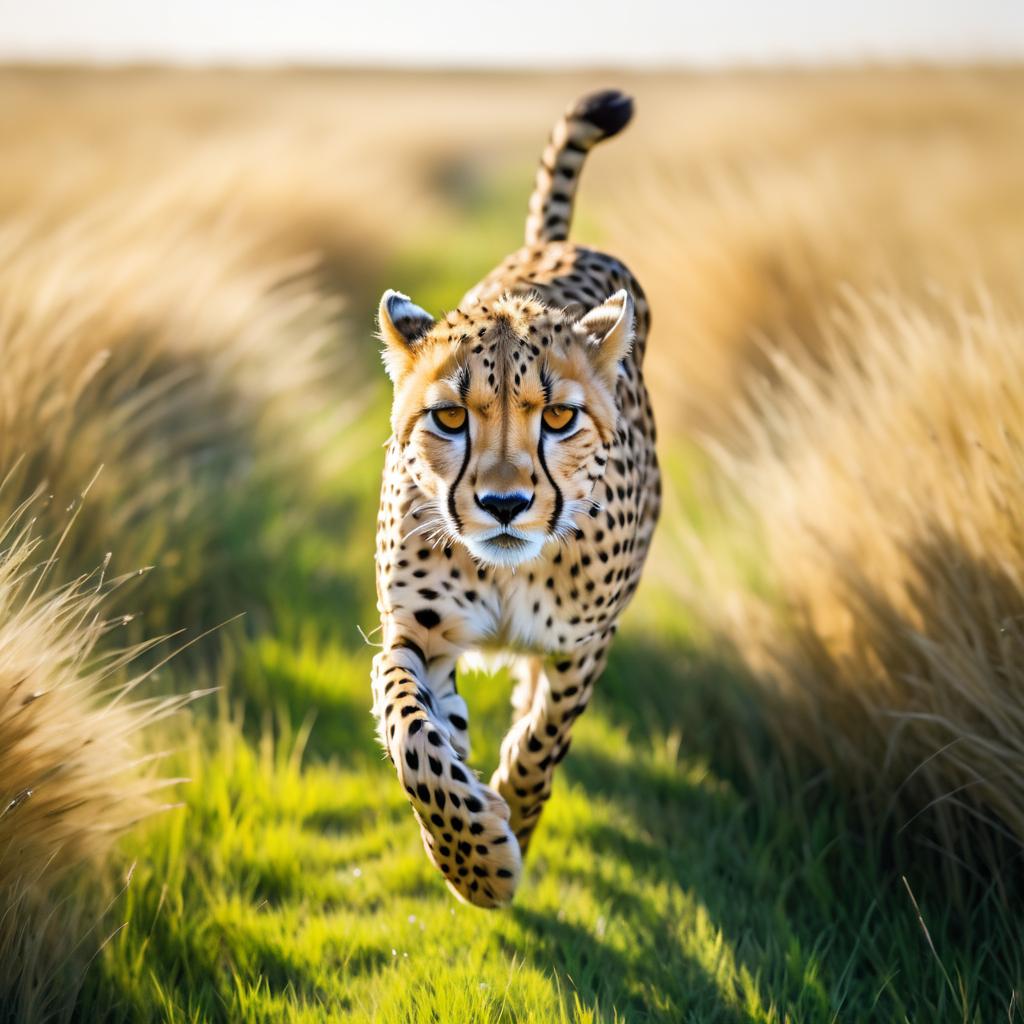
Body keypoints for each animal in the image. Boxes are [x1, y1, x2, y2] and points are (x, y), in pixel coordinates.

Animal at [372, 88, 659, 905]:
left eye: (557, 417)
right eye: (450, 418)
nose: (503, 506)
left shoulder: (584, 642)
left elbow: (543, 737)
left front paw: (512, 823)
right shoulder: (416, 634)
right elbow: (414, 736)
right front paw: (473, 859)